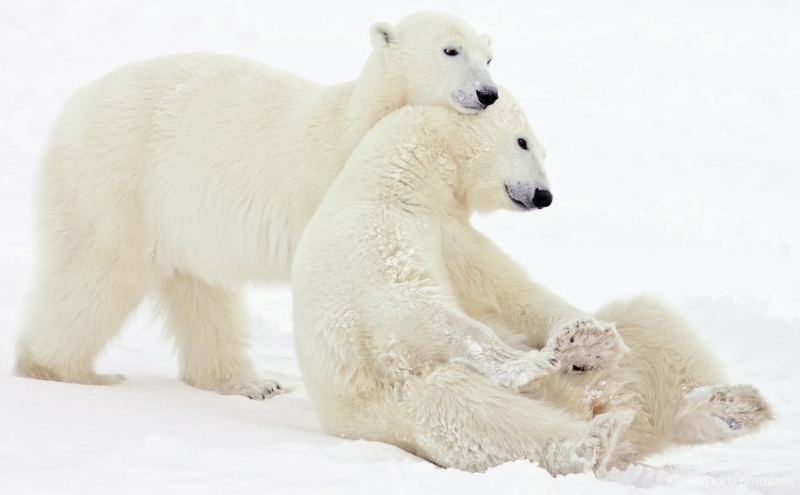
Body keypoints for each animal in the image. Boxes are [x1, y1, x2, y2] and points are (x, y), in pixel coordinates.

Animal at [15, 10, 496, 400]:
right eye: (450, 49)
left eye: (489, 57)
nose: (487, 93)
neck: (359, 127)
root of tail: (74, 105)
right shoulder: (341, 189)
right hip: (119, 178)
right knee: (98, 270)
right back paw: (67, 371)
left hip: (183, 217)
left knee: (201, 289)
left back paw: (252, 384)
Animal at [290, 91, 772, 474]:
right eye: (523, 141)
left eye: (541, 147)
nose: (544, 196)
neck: (396, 179)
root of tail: (600, 404)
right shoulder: (375, 235)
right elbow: (407, 306)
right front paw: (527, 364)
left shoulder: (452, 234)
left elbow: (508, 291)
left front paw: (585, 341)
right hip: (390, 413)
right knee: (458, 406)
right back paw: (590, 441)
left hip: (618, 377)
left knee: (650, 321)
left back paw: (726, 408)